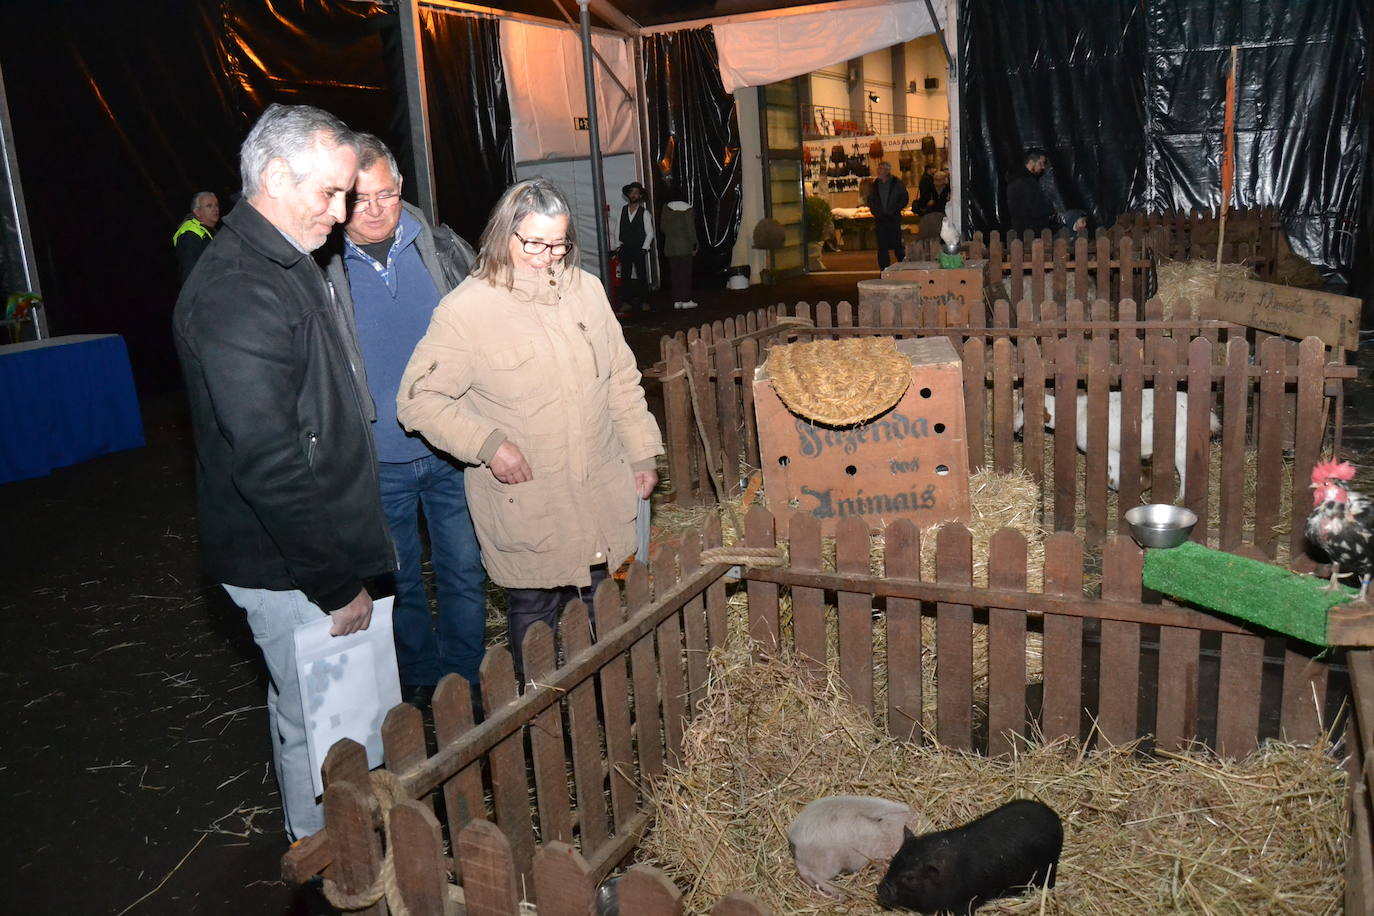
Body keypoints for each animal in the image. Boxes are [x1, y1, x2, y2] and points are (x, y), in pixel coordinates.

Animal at [873, 796, 1055, 911]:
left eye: (909, 878)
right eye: (893, 861)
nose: (880, 889)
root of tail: (1055, 820)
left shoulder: (967, 901)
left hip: (1047, 868)